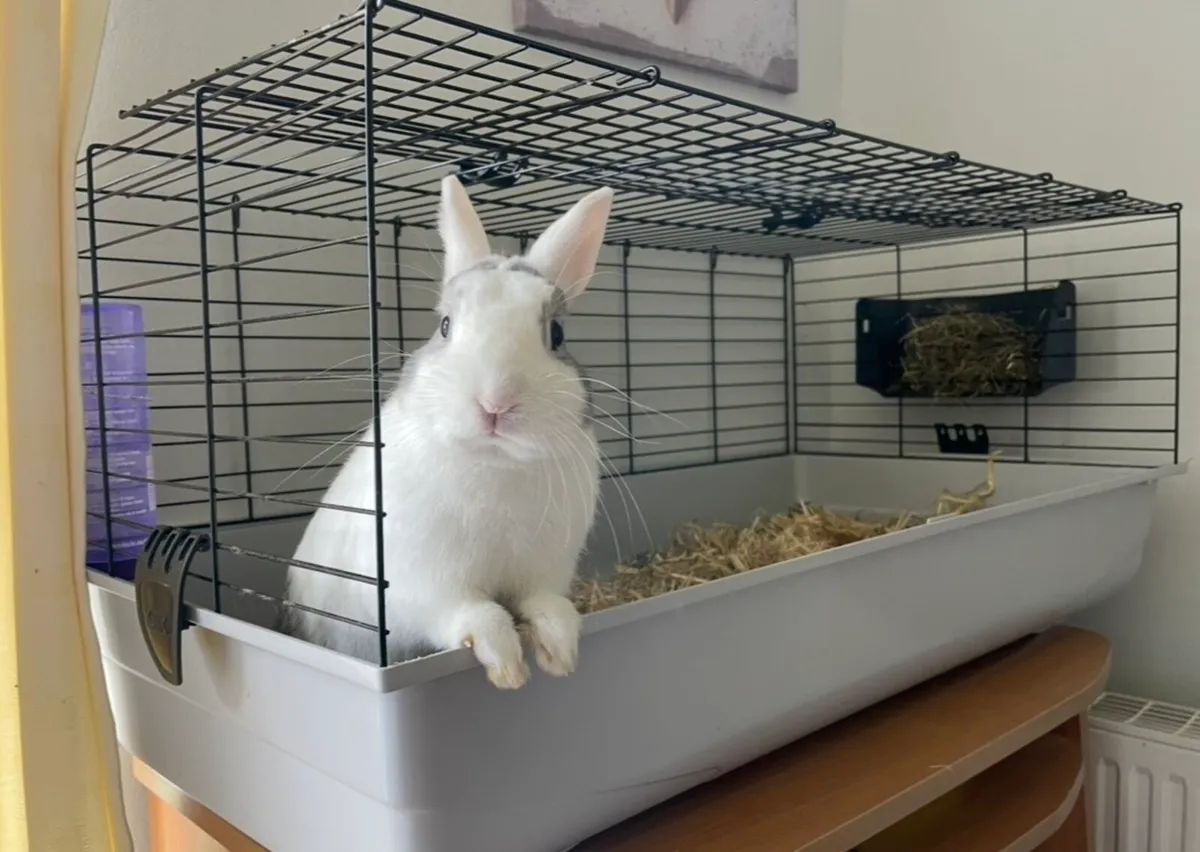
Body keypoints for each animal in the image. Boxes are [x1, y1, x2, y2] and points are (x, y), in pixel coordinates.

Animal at [281, 175, 614, 689]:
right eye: (444, 325)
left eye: (557, 334)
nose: (495, 403)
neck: (494, 463)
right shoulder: (427, 586)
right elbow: (473, 615)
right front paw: (508, 667)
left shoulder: (543, 573)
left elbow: (545, 604)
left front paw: (560, 652)